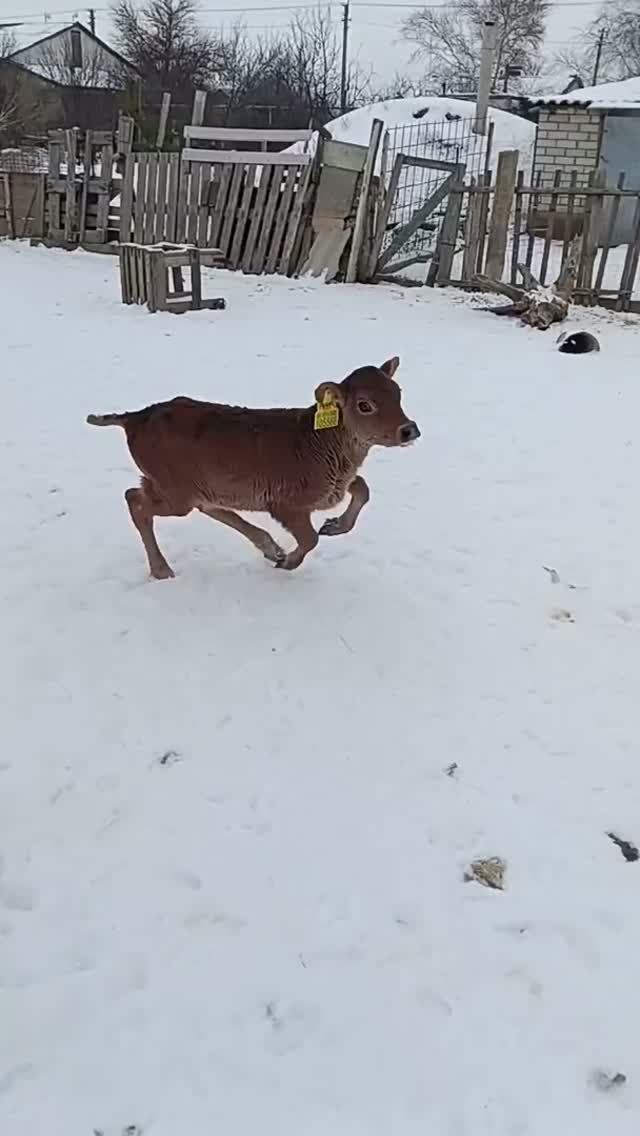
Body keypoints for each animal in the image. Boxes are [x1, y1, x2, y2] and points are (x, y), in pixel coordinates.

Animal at [86, 356, 419, 579]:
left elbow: (362, 487)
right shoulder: (285, 502)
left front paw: (333, 525)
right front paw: (289, 562)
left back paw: (271, 547)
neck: (320, 444)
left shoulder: (337, 484)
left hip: (190, 486)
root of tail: (134, 418)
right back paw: (162, 569)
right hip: (173, 488)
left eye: (398, 393)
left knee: (205, 506)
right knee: (135, 499)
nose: (409, 430)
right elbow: (309, 538)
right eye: (365, 405)